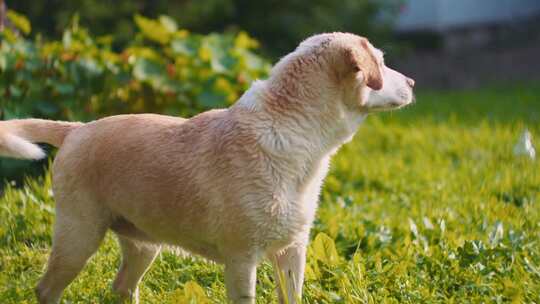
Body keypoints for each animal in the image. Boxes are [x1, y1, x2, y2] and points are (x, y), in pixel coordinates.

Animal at [0, 32, 414, 302]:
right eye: (381, 61)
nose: (411, 80)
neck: (295, 130)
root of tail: (77, 129)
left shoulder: (292, 252)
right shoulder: (241, 260)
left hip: (141, 245)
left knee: (121, 288)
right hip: (78, 237)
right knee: (47, 289)